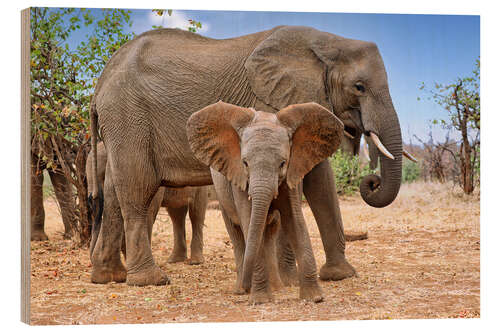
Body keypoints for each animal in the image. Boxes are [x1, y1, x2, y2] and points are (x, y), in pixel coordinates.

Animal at [188, 100, 344, 302]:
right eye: (245, 163)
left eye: (283, 163)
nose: (246, 286)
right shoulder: (239, 179)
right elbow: (248, 221)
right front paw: (260, 300)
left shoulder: (292, 174)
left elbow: (295, 221)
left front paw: (314, 298)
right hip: (221, 193)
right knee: (237, 233)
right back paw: (243, 289)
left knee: (270, 231)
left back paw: (276, 287)